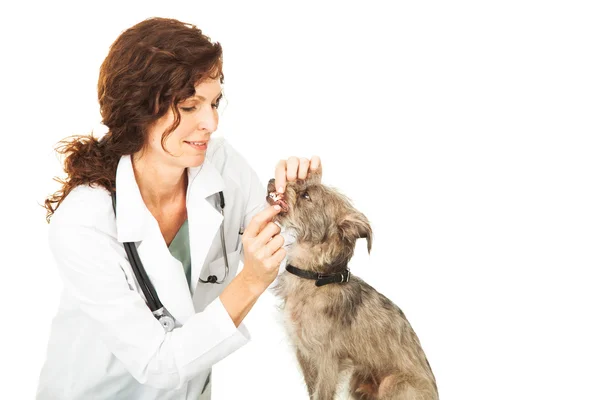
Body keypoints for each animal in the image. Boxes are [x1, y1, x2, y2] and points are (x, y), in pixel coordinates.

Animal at [264, 173, 438, 400]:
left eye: (306, 195)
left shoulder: (328, 360)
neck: (316, 277)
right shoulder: (304, 354)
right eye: (301, 182)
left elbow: (321, 394)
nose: (272, 179)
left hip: (390, 383)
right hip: (358, 380)